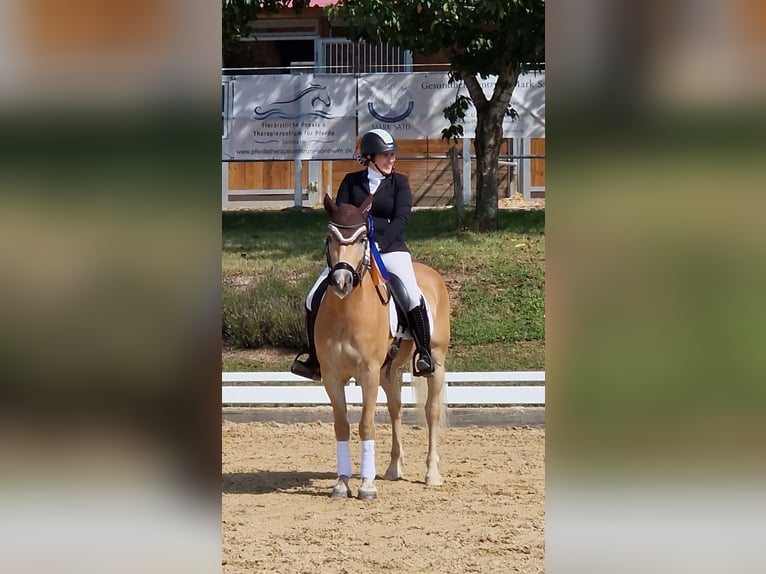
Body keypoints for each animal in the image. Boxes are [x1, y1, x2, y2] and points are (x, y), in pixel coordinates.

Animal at [316, 194, 452, 500]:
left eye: (362, 238)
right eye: (329, 237)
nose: (341, 282)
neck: (347, 312)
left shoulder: (367, 373)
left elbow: (366, 424)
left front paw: (366, 486)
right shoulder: (331, 376)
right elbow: (341, 425)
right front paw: (342, 483)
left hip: (435, 361)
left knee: (431, 411)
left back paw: (432, 474)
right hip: (387, 371)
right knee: (396, 409)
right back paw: (393, 468)